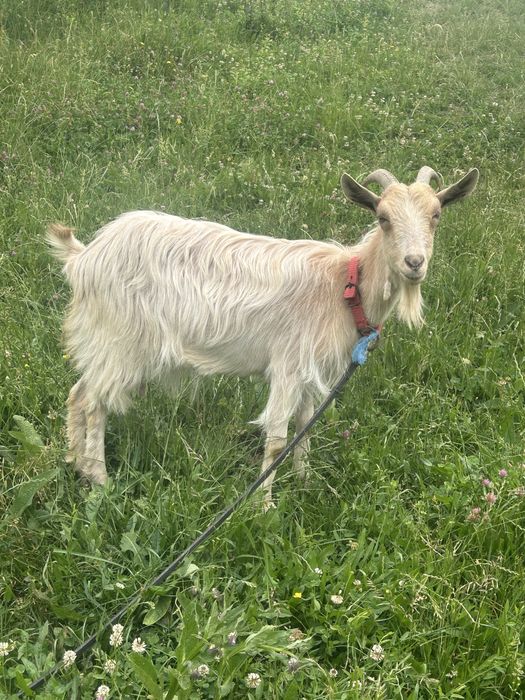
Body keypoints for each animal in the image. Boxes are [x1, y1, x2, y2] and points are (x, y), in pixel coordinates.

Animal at [48, 166, 478, 507]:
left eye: (436, 215)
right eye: (383, 217)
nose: (414, 263)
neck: (344, 285)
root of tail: (84, 257)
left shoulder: (310, 369)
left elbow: (305, 425)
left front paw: (305, 481)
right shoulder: (288, 363)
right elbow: (277, 437)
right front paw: (265, 507)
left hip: (107, 343)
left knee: (78, 393)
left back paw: (75, 462)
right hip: (121, 340)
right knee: (95, 402)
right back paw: (99, 478)